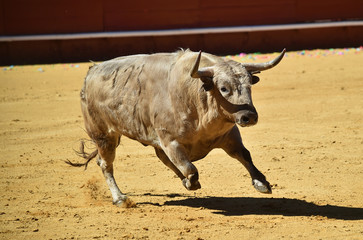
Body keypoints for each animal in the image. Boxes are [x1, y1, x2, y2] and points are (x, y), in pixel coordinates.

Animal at [67, 48, 286, 206]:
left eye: (250, 86)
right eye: (224, 88)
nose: (249, 116)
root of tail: (91, 72)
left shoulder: (229, 134)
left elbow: (244, 155)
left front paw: (261, 183)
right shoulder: (170, 141)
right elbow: (191, 169)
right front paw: (190, 182)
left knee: (162, 160)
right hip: (103, 135)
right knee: (106, 165)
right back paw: (120, 198)